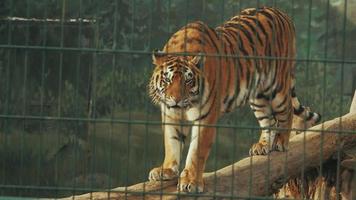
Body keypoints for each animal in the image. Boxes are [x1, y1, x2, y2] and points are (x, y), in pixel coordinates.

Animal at [147, 6, 320, 194]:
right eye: (167, 80)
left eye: (188, 81)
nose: (176, 100)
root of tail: (282, 13)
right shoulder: (170, 115)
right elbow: (171, 143)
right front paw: (166, 170)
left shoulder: (206, 118)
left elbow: (196, 151)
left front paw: (191, 181)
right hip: (257, 96)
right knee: (269, 119)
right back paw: (262, 146)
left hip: (278, 87)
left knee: (286, 111)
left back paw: (280, 142)